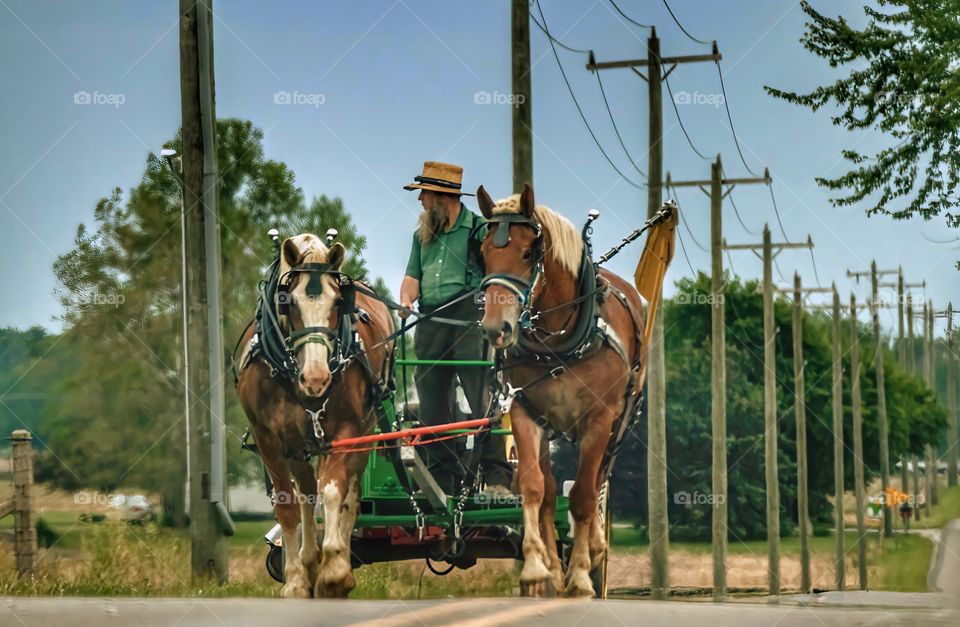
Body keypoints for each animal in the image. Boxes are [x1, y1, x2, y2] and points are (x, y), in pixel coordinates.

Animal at [236, 233, 394, 598]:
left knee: (348, 493)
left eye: (338, 303)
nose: (317, 377)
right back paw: (308, 560)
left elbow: (335, 492)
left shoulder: (345, 431)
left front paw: (335, 571)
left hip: (364, 432)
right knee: (306, 491)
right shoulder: (269, 439)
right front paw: (296, 580)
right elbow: (288, 505)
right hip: (298, 446)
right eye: (288, 302)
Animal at [476, 184, 648, 598]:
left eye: (527, 252)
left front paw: (582, 574)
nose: (495, 329)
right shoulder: (524, 409)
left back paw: (594, 550)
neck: (558, 340)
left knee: (598, 481)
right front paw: (538, 567)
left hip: (619, 424)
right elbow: (534, 488)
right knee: (552, 490)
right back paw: (554, 567)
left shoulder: (599, 419)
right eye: (484, 253)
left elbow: (584, 496)